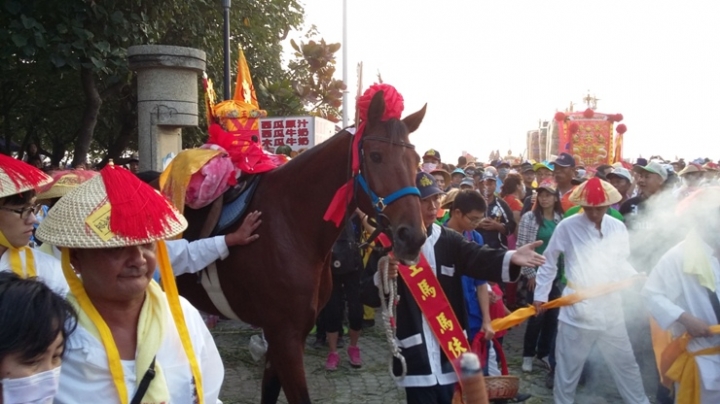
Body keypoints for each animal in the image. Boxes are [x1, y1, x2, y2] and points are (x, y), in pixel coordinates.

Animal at [176, 91, 428, 404]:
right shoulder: (285, 336)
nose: (413, 236)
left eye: (415, 159)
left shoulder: (286, 334)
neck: (290, 224)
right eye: (376, 156)